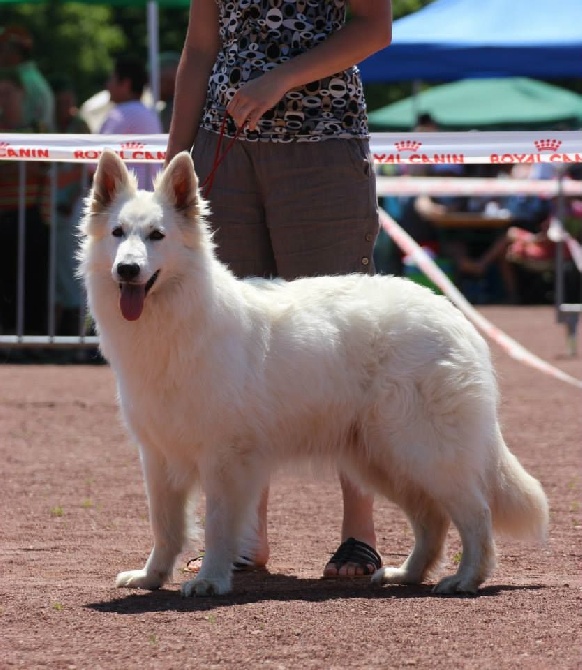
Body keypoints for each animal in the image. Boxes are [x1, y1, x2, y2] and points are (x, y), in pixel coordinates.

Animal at [80, 148, 548, 600]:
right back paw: (407, 574)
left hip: (423, 450)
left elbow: (216, 526)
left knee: (476, 515)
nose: (127, 270)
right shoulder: (158, 456)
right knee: (432, 518)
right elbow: (165, 526)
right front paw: (151, 577)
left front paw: (210, 580)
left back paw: (465, 579)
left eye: (157, 236)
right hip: (382, 459)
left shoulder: (225, 459)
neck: (175, 321)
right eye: (119, 233)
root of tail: (451, 313)